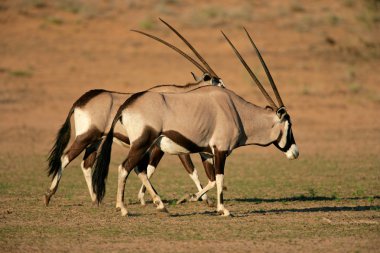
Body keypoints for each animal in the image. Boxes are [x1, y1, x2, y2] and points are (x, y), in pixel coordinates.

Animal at [45, 18, 224, 207]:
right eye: (219, 84)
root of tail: (80, 101)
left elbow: (148, 169)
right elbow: (188, 171)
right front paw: (203, 199)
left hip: (96, 140)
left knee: (86, 164)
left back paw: (95, 199)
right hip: (86, 136)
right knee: (65, 158)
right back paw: (49, 195)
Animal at [93, 28, 300, 217]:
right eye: (289, 126)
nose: (295, 152)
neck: (237, 112)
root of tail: (127, 105)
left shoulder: (208, 152)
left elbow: (213, 180)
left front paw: (192, 197)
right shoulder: (220, 151)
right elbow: (219, 178)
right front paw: (223, 209)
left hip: (148, 146)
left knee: (140, 169)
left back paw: (160, 205)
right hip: (142, 143)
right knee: (125, 168)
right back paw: (123, 208)